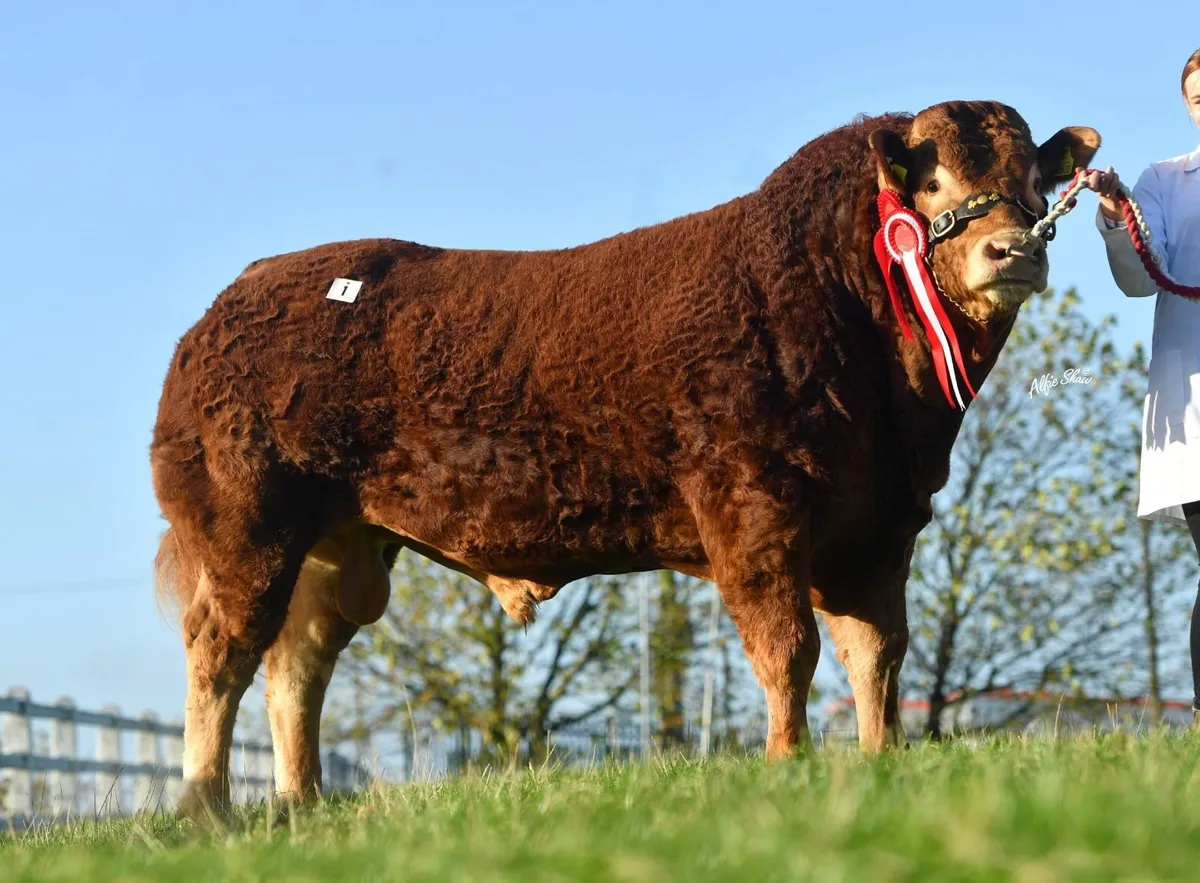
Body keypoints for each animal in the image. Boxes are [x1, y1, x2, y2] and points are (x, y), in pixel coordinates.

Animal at [150, 99, 1100, 816]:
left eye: (1032, 181)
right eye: (933, 181)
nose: (1014, 248)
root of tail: (235, 298)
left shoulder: (881, 529)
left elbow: (878, 655)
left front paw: (879, 762)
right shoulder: (752, 509)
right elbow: (788, 649)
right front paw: (786, 764)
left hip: (337, 548)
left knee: (296, 666)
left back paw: (300, 802)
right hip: (246, 526)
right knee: (221, 653)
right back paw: (207, 807)